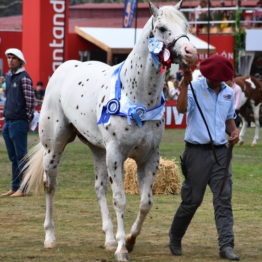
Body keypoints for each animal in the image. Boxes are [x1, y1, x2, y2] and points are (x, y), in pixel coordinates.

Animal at [20, 1, 196, 260]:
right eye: (163, 28)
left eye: (186, 26)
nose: (190, 52)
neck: (136, 96)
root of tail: (64, 69)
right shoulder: (116, 155)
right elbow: (120, 201)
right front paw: (123, 249)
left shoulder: (149, 157)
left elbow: (145, 203)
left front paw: (129, 240)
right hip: (53, 148)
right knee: (50, 185)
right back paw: (50, 237)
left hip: (98, 150)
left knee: (99, 188)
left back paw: (109, 239)